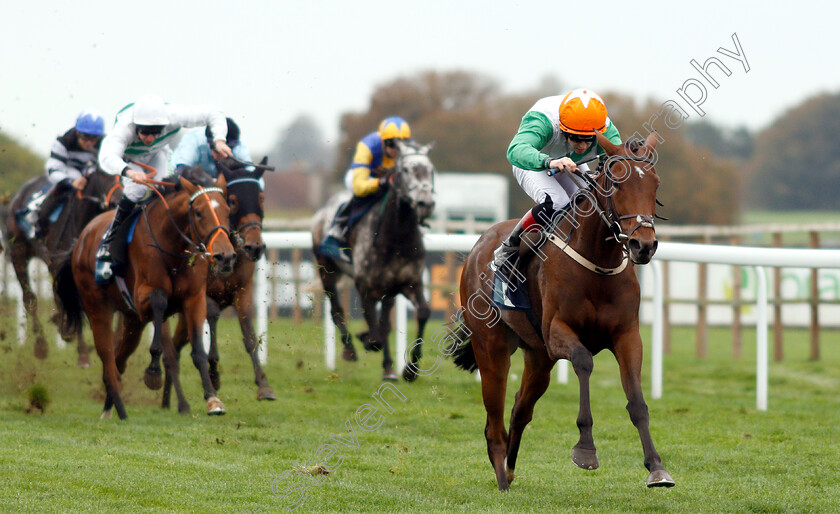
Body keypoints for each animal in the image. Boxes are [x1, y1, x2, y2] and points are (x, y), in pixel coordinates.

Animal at [0, 164, 121, 364]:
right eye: (103, 173)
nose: (118, 200)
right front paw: (83, 353)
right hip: (18, 253)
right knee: (29, 299)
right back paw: (41, 345)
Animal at [56, 170, 235, 418]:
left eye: (227, 210)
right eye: (198, 212)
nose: (225, 256)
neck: (172, 248)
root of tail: (81, 239)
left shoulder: (194, 298)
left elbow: (199, 349)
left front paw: (213, 399)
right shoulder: (143, 298)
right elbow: (160, 301)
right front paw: (153, 372)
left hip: (133, 322)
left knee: (119, 360)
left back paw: (109, 408)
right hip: (98, 309)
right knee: (108, 359)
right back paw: (120, 411)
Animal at [163, 158, 278, 406]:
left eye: (261, 198)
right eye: (232, 201)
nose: (255, 247)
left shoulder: (243, 290)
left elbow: (249, 335)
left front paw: (264, 386)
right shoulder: (202, 293)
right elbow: (213, 317)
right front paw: (214, 375)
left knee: (176, 345)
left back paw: (166, 399)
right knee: (176, 346)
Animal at [312, 140, 436, 380]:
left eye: (431, 170)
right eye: (406, 170)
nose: (425, 203)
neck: (397, 238)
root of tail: (321, 212)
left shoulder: (409, 282)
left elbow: (422, 313)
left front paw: (411, 369)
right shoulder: (366, 287)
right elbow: (375, 334)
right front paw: (366, 339)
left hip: (387, 289)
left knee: (385, 321)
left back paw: (388, 368)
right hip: (326, 269)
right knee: (336, 310)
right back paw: (351, 350)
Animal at [452, 131, 676, 488]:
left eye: (655, 184)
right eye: (616, 184)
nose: (644, 246)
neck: (598, 263)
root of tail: (479, 245)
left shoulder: (627, 335)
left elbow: (637, 401)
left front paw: (656, 467)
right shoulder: (558, 330)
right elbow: (584, 362)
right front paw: (585, 450)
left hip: (538, 356)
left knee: (519, 410)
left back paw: (510, 469)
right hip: (491, 348)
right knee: (494, 421)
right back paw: (502, 478)